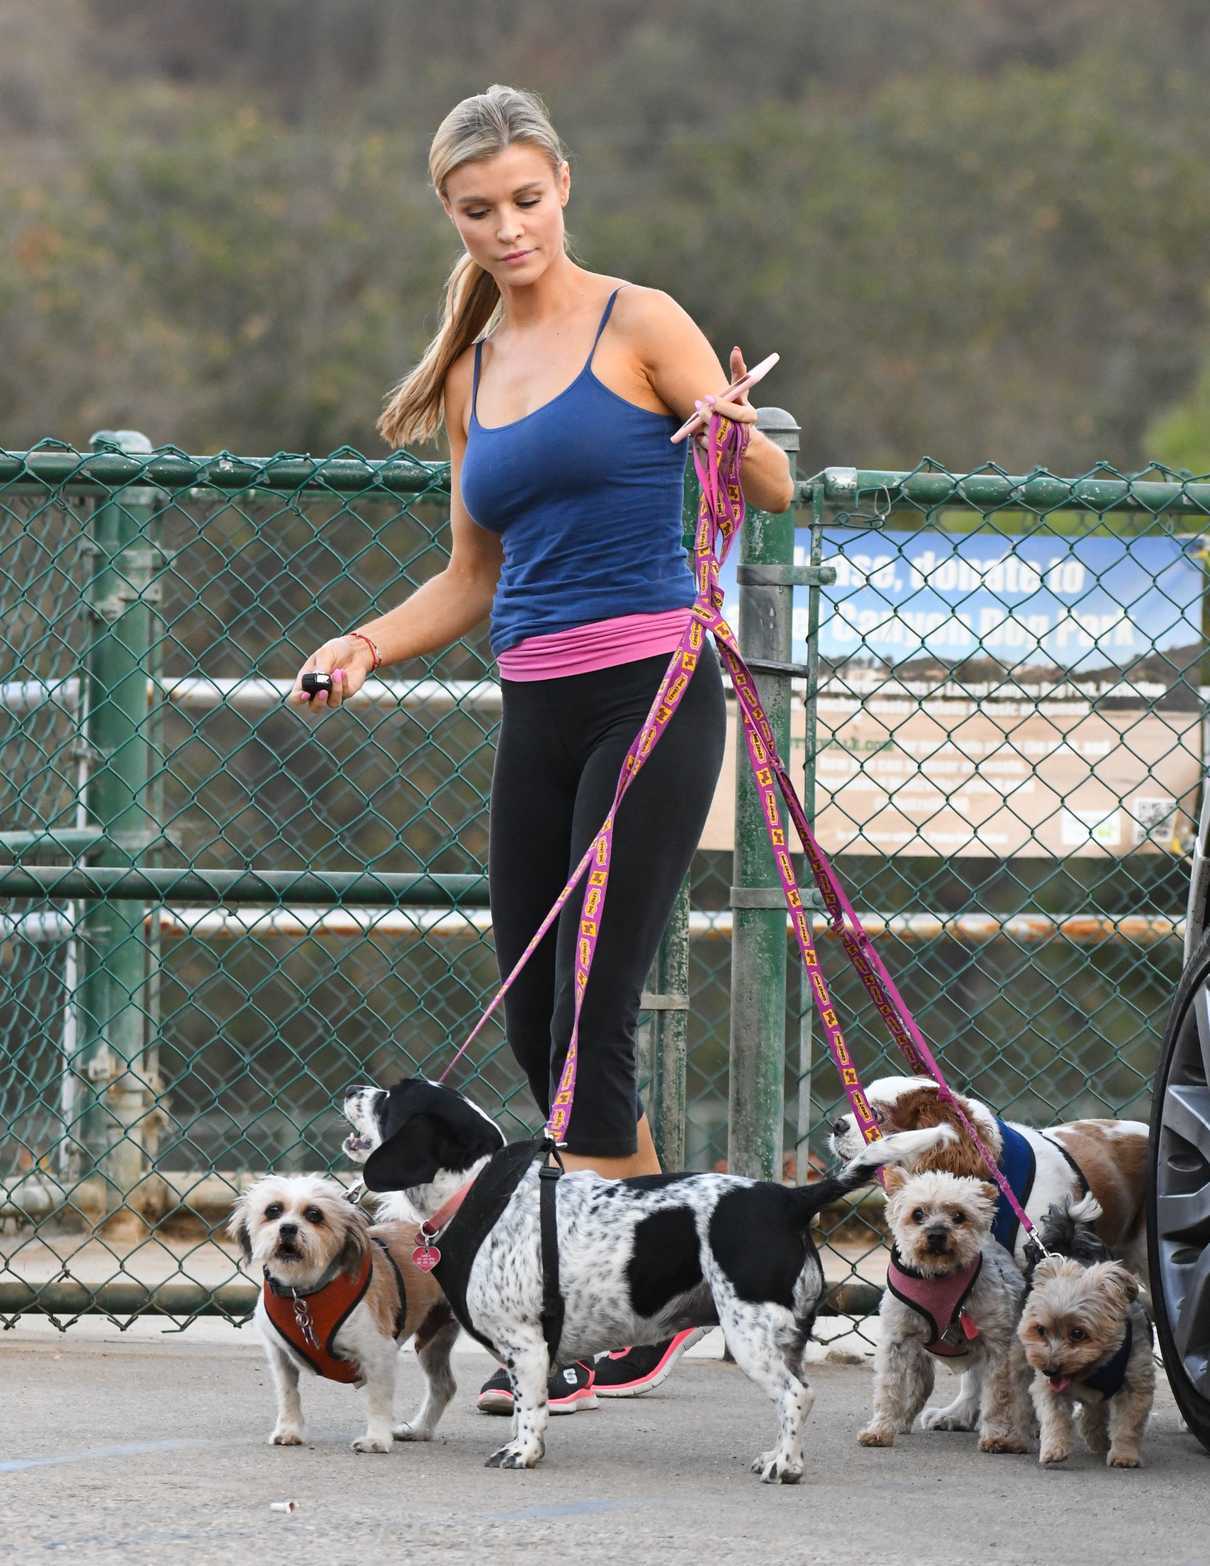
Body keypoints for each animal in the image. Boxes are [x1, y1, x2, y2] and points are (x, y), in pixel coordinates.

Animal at [226, 1177, 457, 1453]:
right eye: (273, 1210)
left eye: (314, 1214)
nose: (288, 1228)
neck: (302, 1293)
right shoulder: (280, 1355)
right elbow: (288, 1395)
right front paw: (289, 1430)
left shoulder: (378, 1353)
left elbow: (378, 1401)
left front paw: (376, 1439)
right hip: (433, 1341)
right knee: (443, 1386)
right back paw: (420, 1429)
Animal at [342, 1077, 951, 1478]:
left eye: (391, 1097)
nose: (353, 1086)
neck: (479, 1191)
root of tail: (789, 1200)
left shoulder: (526, 1346)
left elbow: (529, 1409)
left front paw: (523, 1452)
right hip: (783, 1338)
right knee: (791, 1398)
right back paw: (782, 1455)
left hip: (750, 1335)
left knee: (797, 1395)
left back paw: (785, 1465)